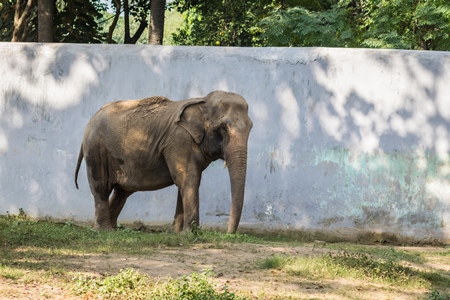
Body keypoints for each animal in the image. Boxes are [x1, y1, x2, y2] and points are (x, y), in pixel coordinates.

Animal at [74, 90, 253, 233]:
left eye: (251, 127)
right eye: (223, 128)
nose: (228, 234)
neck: (201, 101)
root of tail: (91, 120)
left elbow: (185, 182)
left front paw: (177, 233)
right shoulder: (179, 141)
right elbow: (189, 180)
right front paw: (191, 233)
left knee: (122, 192)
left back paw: (112, 229)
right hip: (96, 150)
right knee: (101, 188)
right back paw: (105, 231)